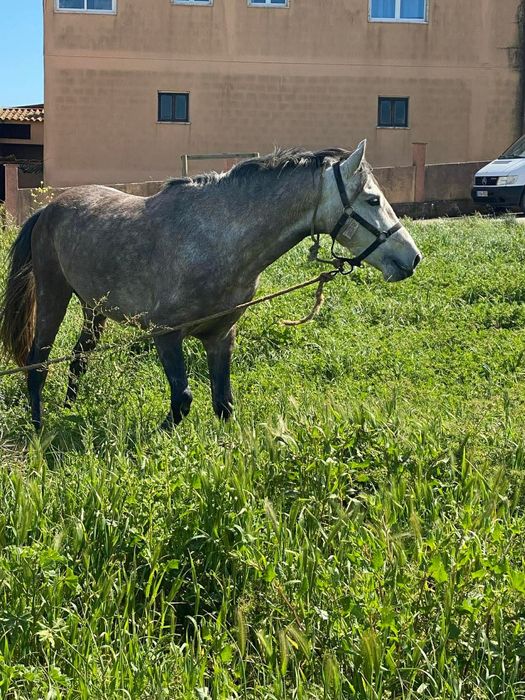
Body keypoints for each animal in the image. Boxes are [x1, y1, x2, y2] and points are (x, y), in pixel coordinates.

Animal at [0, 140, 422, 431]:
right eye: (372, 200)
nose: (412, 257)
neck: (215, 240)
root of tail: (48, 209)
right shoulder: (165, 334)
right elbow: (182, 399)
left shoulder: (221, 336)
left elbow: (223, 402)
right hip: (54, 295)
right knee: (39, 362)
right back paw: (39, 427)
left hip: (94, 308)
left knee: (78, 359)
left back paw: (71, 410)